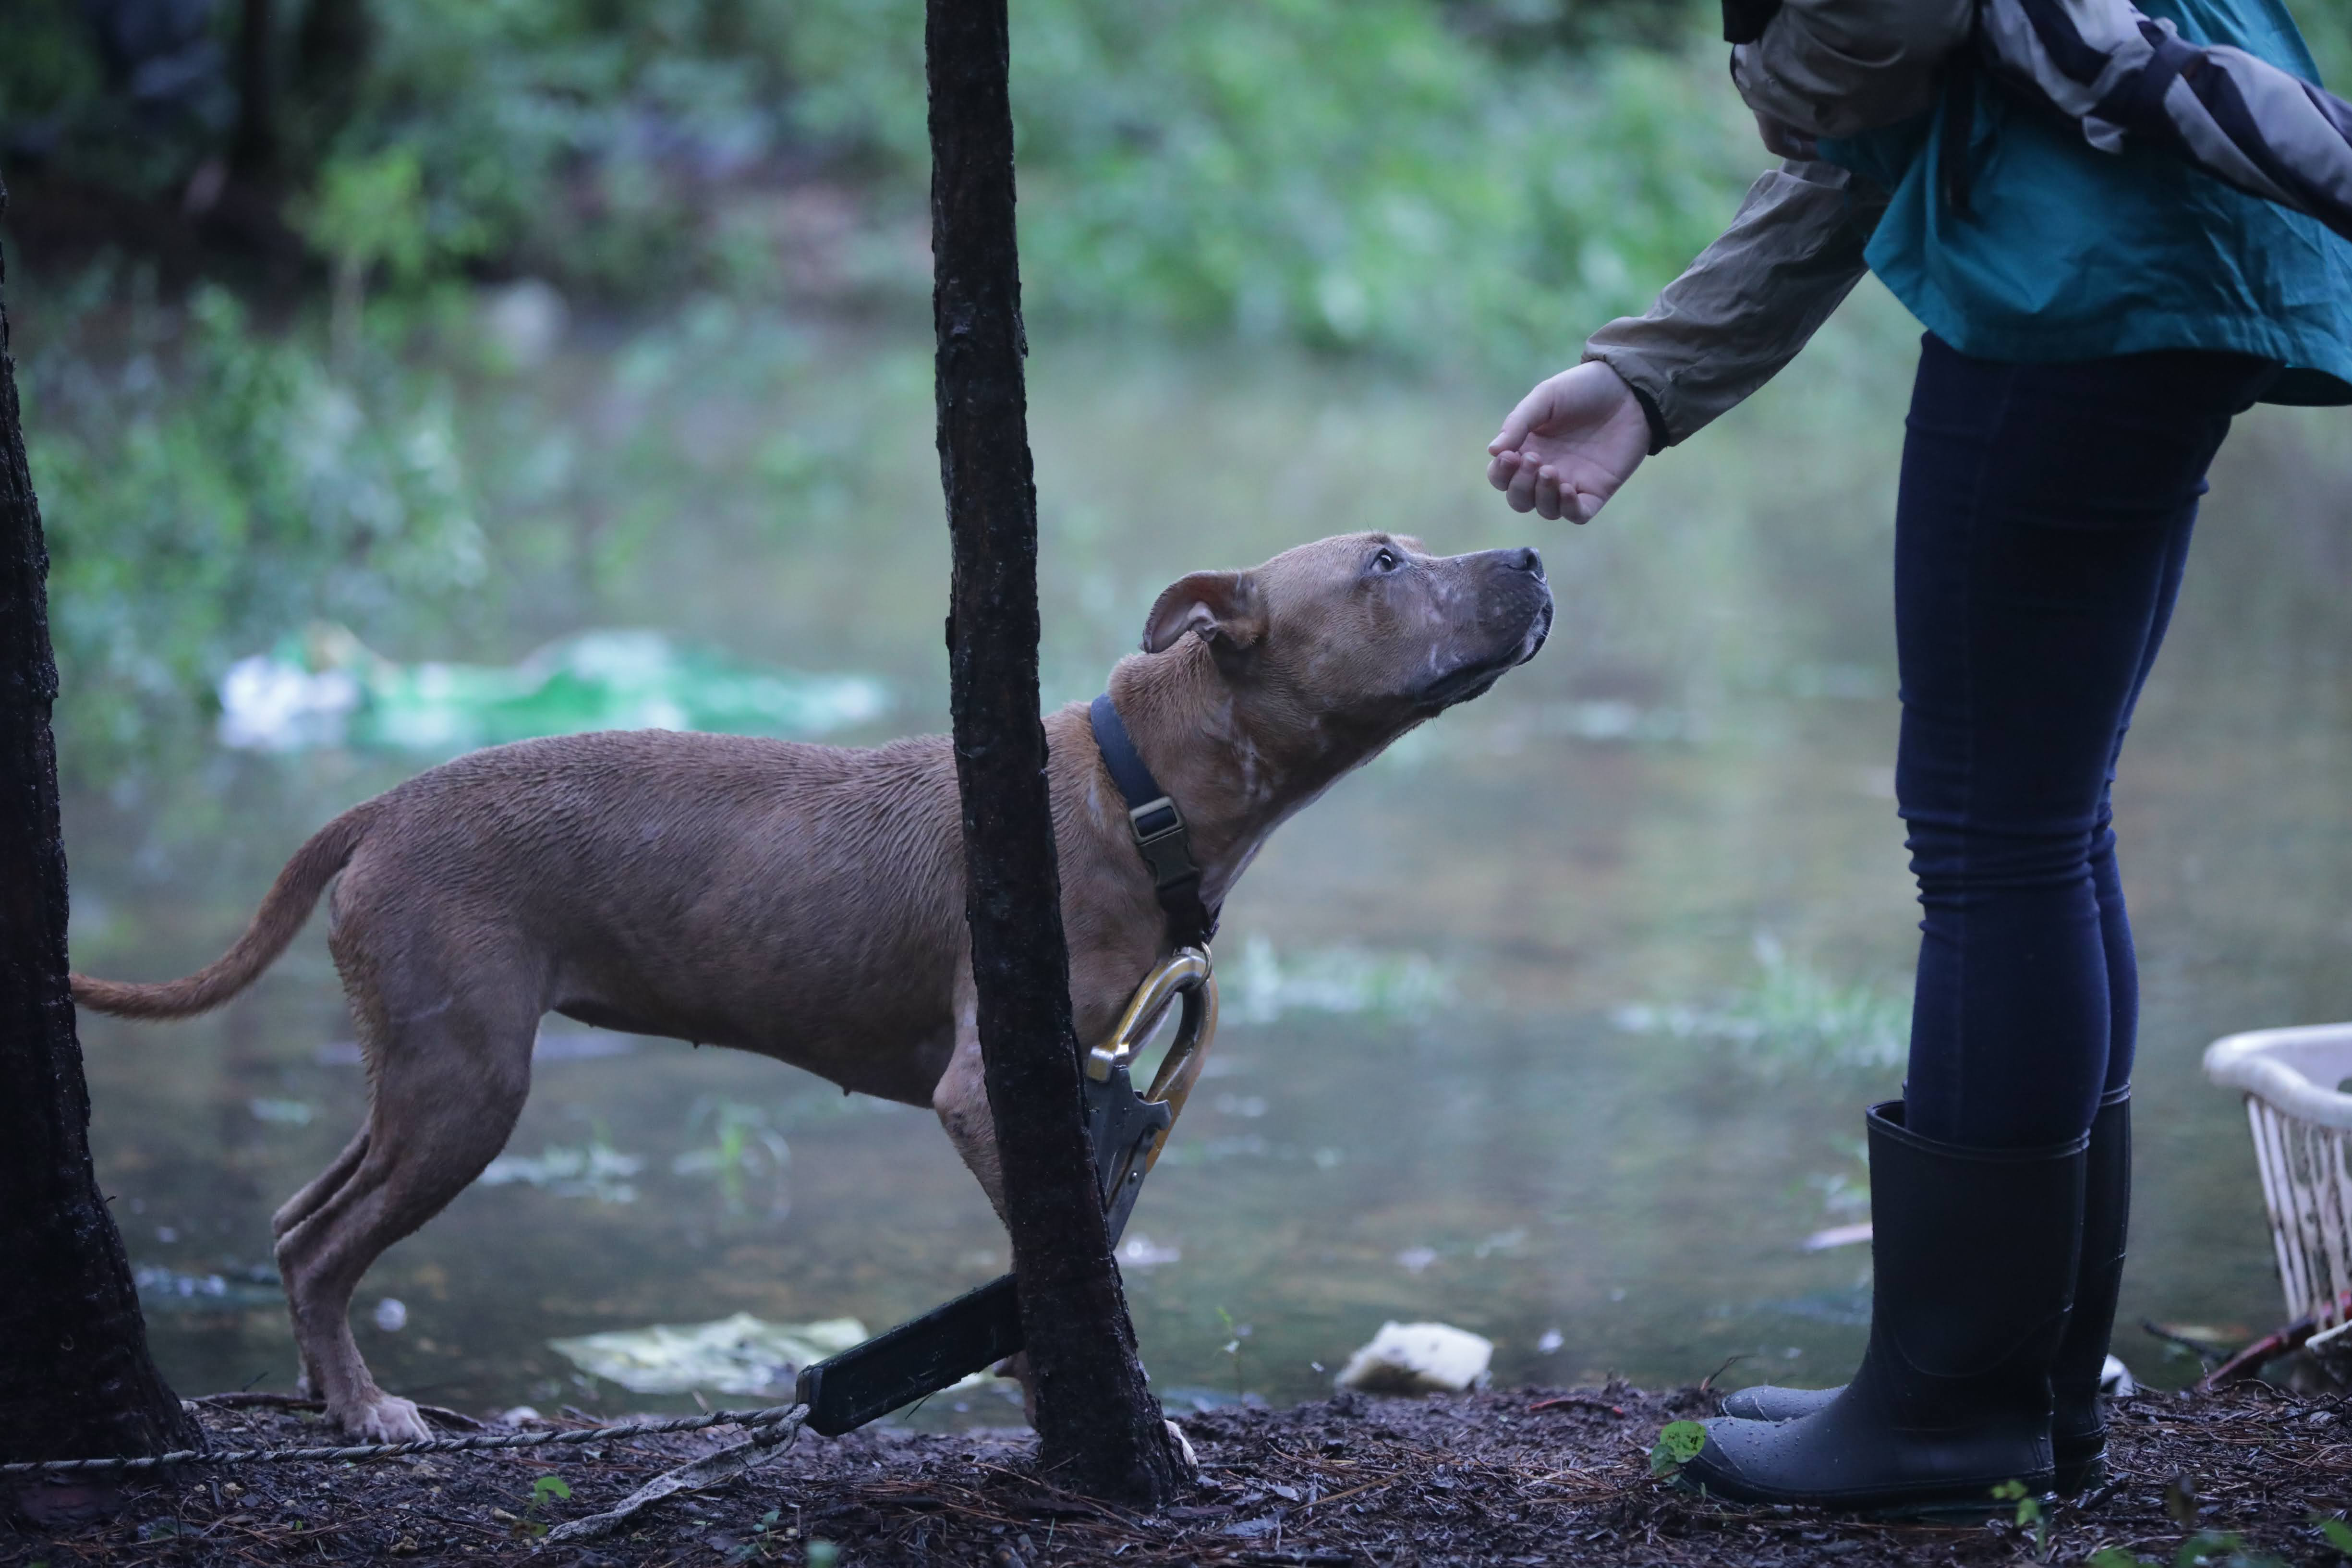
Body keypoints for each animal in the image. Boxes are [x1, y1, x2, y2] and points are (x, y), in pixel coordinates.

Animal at [73, 534, 1552, 1438]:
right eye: (1382, 563)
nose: (1533, 554)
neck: (1142, 794)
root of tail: (383, 801)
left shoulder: (1091, 1091)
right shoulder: (991, 1089)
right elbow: (1064, 1263)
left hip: (422, 1072)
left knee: (295, 1222)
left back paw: (336, 1396)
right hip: (466, 1085)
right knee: (326, 1243)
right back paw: (370, 1407)